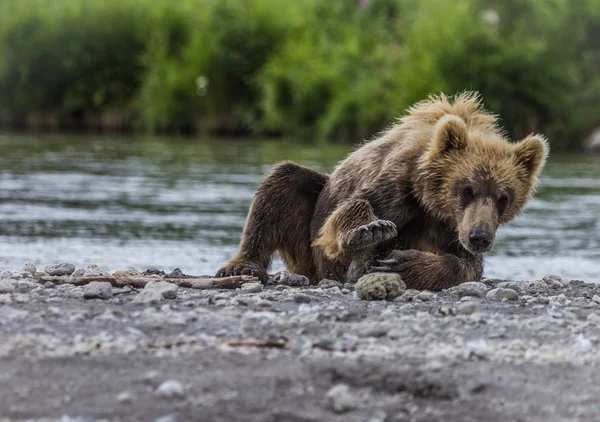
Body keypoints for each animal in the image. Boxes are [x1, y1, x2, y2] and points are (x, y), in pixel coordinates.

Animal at [216, 92, 548, 290]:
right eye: (466, 189)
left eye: (503, 197)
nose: (480, 237)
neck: (430, 203)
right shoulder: (398, 185)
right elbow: (356, 205)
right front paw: (368, 231)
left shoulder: (452, 228)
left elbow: (466, 266)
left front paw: (401, 263)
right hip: (309, 230)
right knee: (281, 186)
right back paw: (243, 267)